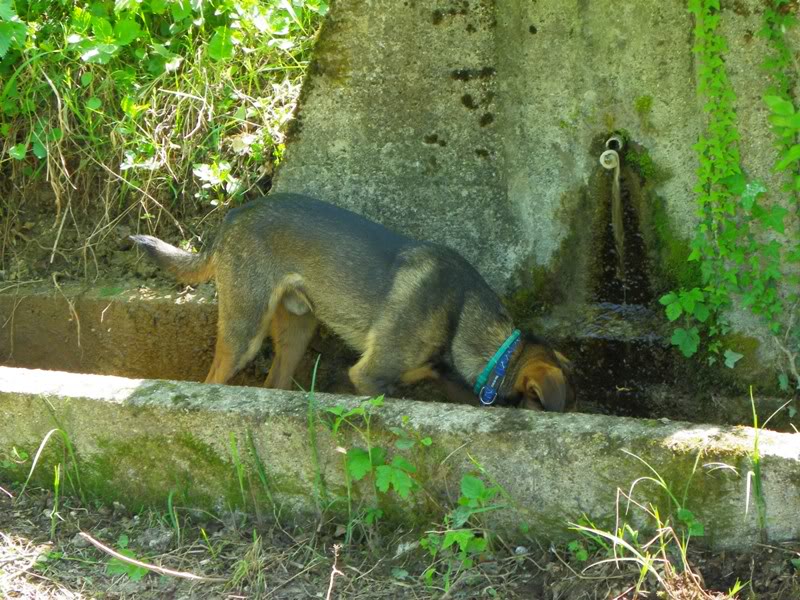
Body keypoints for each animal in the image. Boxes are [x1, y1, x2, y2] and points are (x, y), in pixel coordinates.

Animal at [131, 195, 576, 410]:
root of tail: (234, 214)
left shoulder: (447, 379)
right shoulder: (369, 377)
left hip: (296, 333)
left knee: (274, 385)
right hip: (245, 330)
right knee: (214, 380)